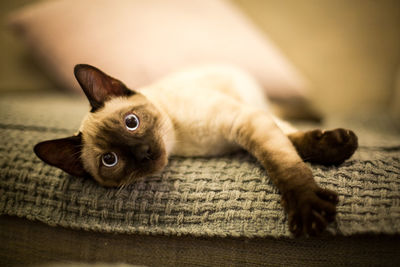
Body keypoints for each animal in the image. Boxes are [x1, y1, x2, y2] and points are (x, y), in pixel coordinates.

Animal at [35, 64, 360, 237]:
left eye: (131, 122)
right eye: (110, 160)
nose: (143, 153)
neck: (179, 139)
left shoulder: (245, 120)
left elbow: (285, 163)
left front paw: (309, 206)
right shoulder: (248, 124)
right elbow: (288, 148)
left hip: (252, 101)